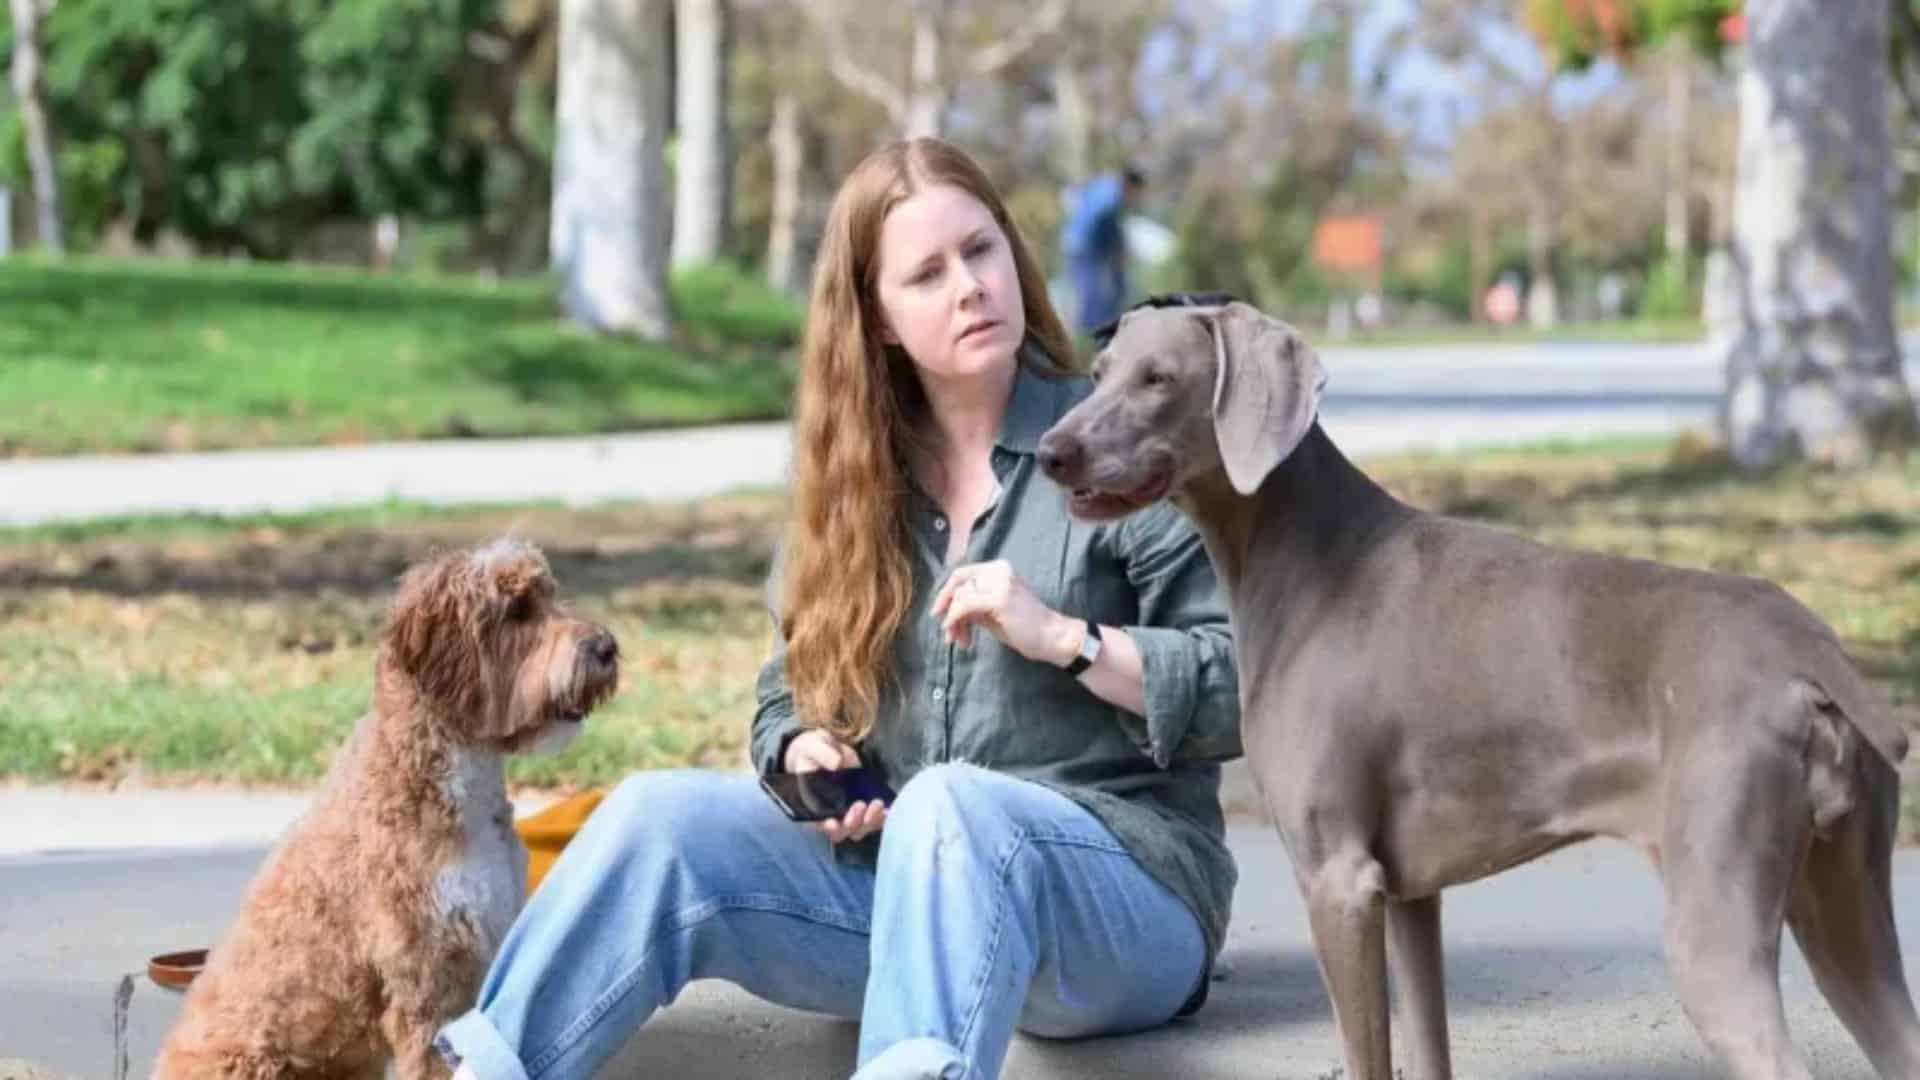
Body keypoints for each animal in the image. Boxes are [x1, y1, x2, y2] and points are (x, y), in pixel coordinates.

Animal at [1044, 297, 1920, 1076]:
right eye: (1098, 373)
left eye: (1159, 379)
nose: (1052, 450)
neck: (1302, 555)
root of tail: (1809, 647)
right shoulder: (1408, 895)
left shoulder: (1337, 882)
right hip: (1844, 907)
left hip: (1715, 913)